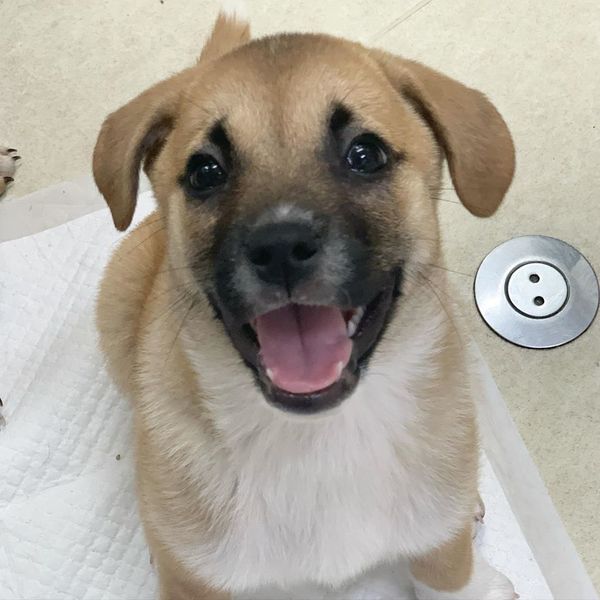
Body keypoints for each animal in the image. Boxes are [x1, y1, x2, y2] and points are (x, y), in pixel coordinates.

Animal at [93, 9, 516, 600]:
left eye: (365, 154)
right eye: (205, 171)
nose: (280, 247)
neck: (317, 438)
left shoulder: (436, 524)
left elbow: (444, 564)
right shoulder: (198, 579)